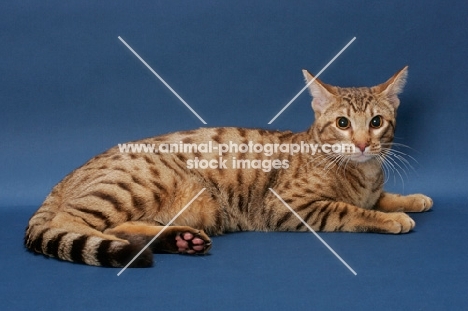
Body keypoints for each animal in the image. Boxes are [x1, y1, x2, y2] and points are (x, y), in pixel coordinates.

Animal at [23, 66, 432, 268]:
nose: (362, 143)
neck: (361, 171)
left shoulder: (371, 188)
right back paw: (128, 247)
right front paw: (392, 219)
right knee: (73, 223)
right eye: (343, 124)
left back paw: (178, 240)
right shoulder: (290, 206)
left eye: (376, 122)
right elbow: (353, 211)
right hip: (139, 184)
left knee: (120, 227)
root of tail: (66, 177)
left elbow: (382, 197)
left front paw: (413, 199)